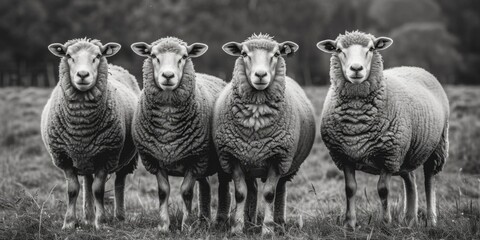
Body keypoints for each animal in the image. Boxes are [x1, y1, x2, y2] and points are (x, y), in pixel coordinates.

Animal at [42, 38, 141, 230]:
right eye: (68, 55)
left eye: (97, 56)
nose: (82, 74)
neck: (81, 128)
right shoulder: (64, 157)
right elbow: (73, 190)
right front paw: (69, 223)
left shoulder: (106, 155)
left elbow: (98, 190)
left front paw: (100, 222)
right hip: (85, 156)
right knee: (87, 181)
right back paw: (88, 217)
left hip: (125, 159)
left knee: (119, 182)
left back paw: (119, 216)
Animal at [130, 36, 230, 232]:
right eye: (153, 55)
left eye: (184, 56)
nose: (168, 76)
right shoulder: (155, 159)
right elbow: (163, 192)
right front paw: (164, 225)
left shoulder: (195, 159)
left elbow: (186, 192)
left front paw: (186, 225)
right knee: (205, 186)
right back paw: (203, 220)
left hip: (216, 160)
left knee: (222, 187)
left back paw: (220, 221)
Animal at [216, 33, 316, 234]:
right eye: (244, 53)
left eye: (277, 53)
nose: (261, 75)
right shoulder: (233, 156)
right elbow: (240, 193)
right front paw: (237, 228)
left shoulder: (278, 157)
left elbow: (270, 194)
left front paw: (268, 230)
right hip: (250, 161)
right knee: (253, 188)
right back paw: (250, 222)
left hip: (287, 164)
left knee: (281, 189)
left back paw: (279, 222)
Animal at [316, 31, 448, 230]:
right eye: (338, 50)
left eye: (371, 48)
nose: (356, 68)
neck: (357, 122)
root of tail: (415, 67)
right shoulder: (345, 155)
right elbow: (350, 189)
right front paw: (350, 224)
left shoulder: (388, 155)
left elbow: (383, 190)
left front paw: (386, 223)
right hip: (405, 151)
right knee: (411, 180)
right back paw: (409, 219)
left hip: (436, 147)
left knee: (429, 180)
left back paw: (431, 220)